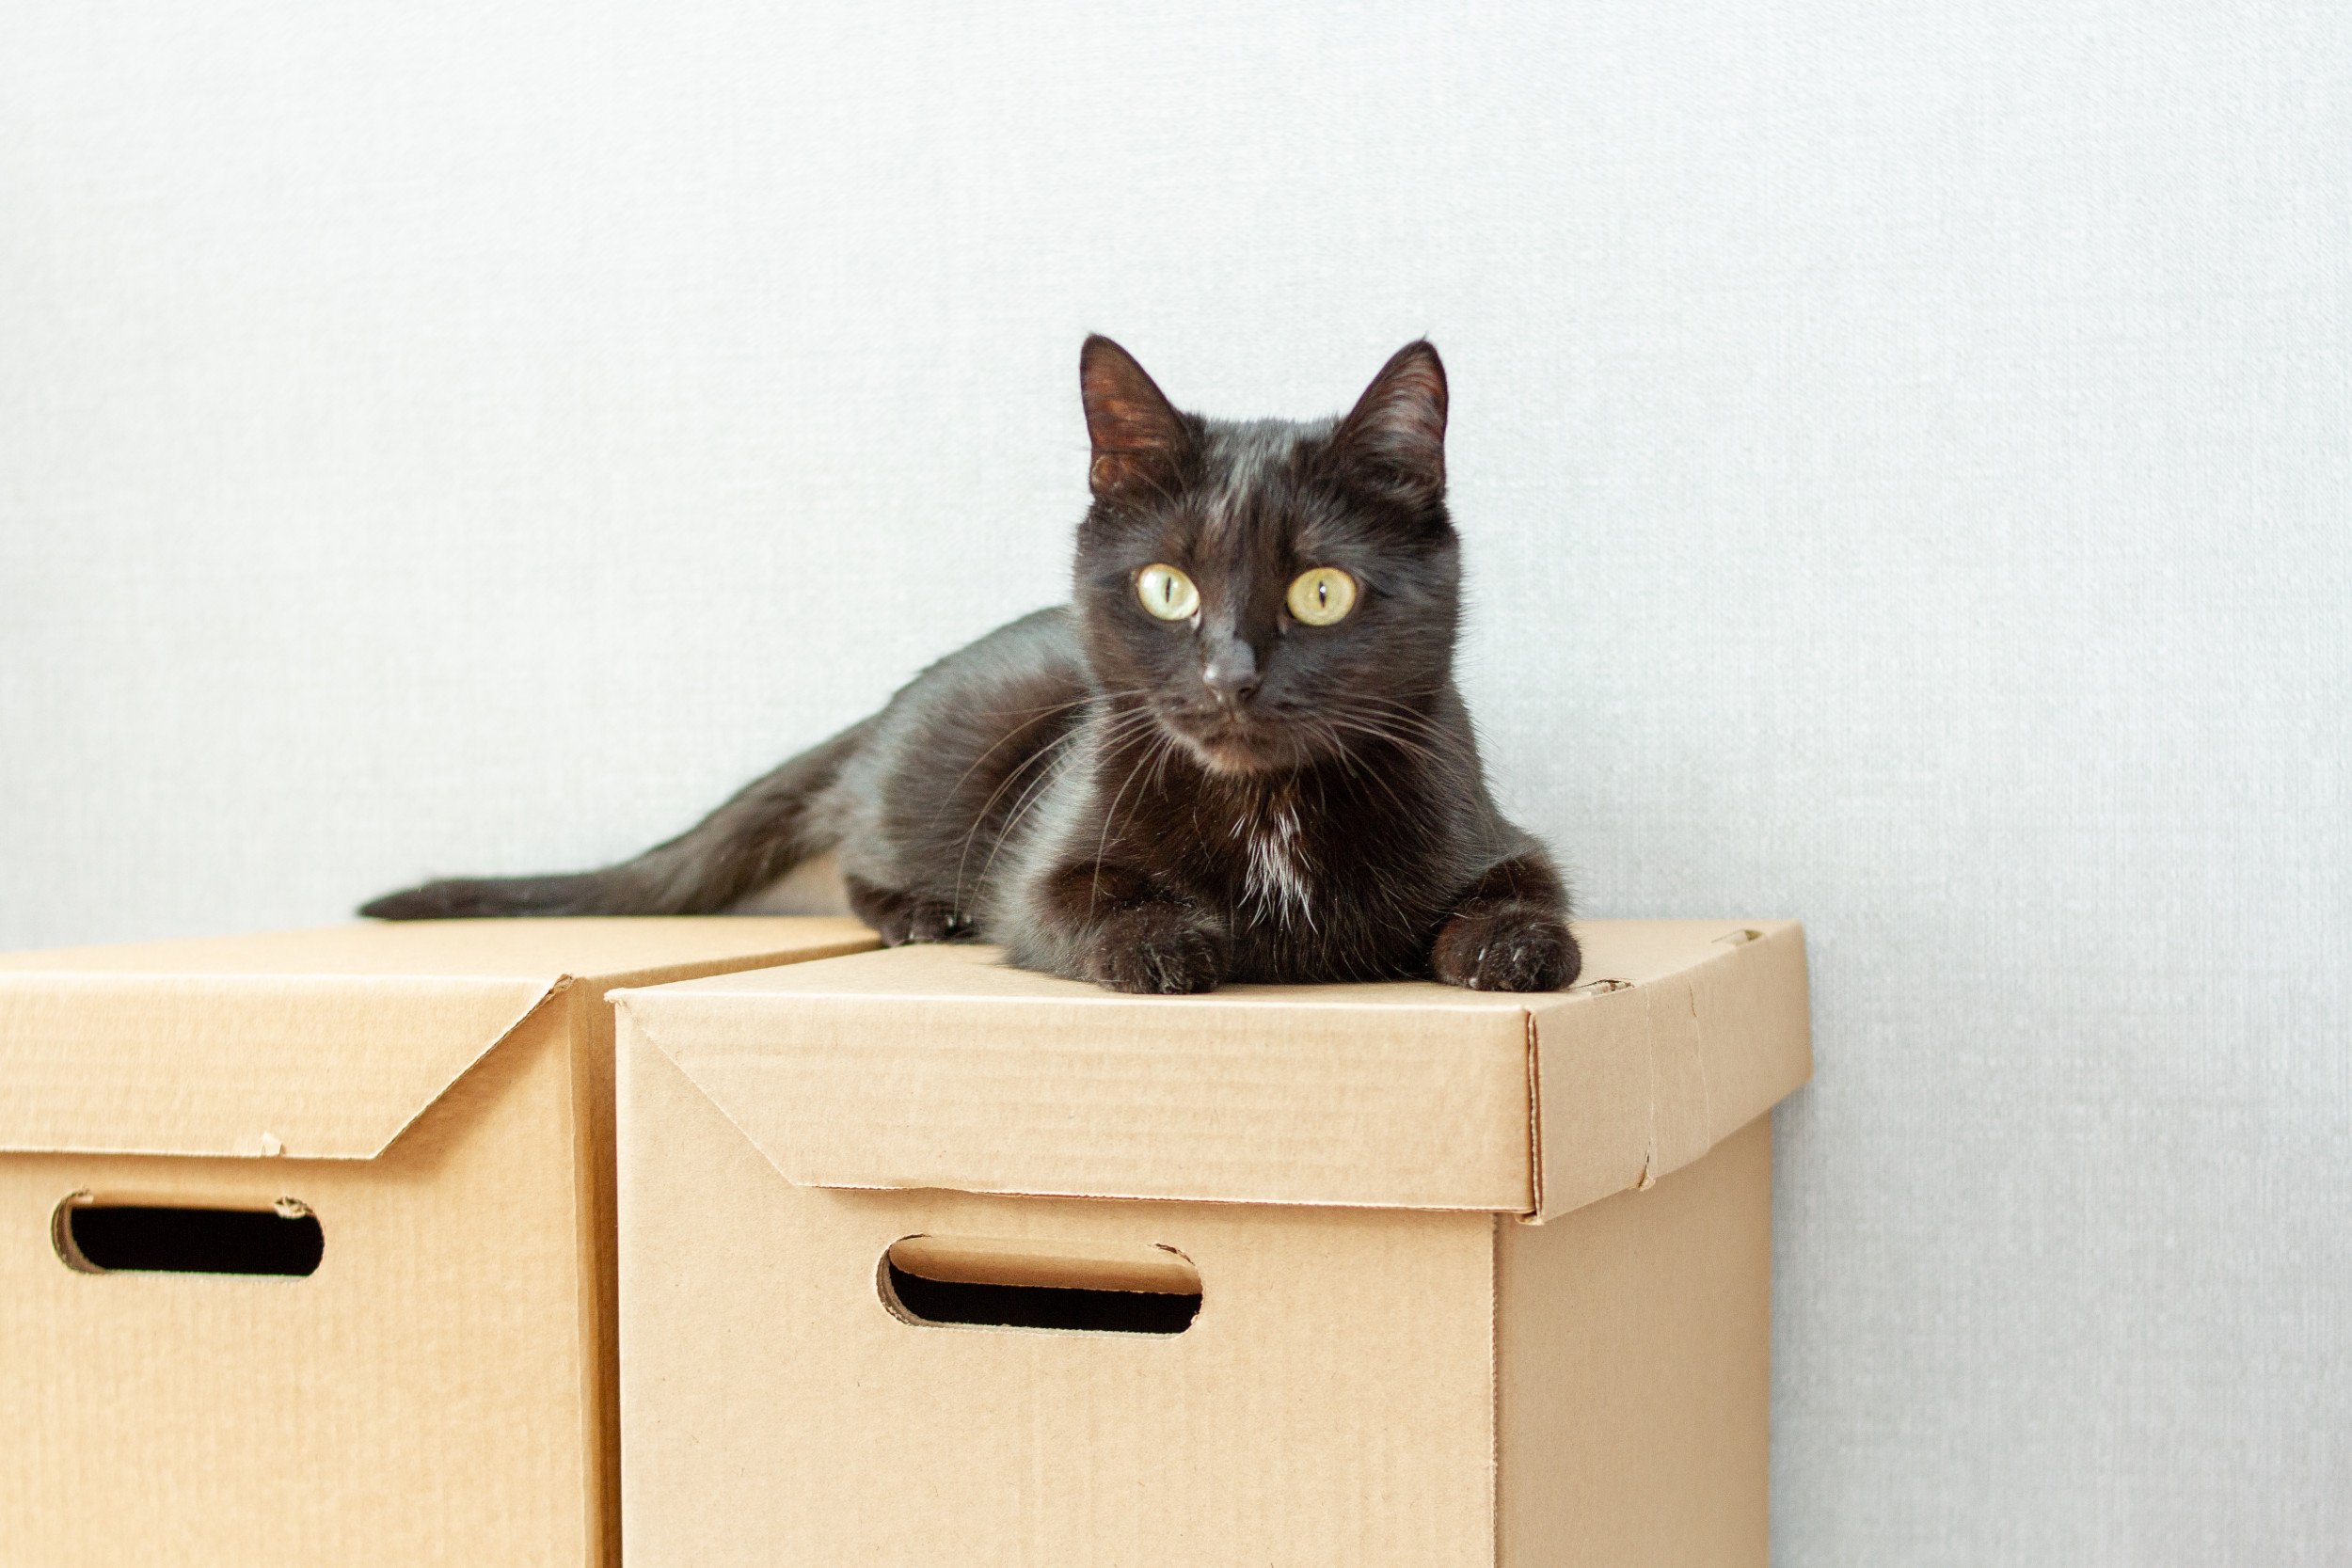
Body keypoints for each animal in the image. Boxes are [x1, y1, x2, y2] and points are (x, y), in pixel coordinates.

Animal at [362, 338, 1581, 991]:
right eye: (1168, 587)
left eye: (1320, 591)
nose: (1229, 678)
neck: (1264, 809)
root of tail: (890, 706)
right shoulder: (1038, 868)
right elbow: (1081, 904)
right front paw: (1169, 943)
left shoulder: (1491, 824)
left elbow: (1527, 891)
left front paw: (1519, 948)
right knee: (866, 850)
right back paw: (915, 912)